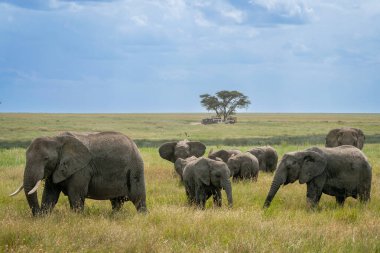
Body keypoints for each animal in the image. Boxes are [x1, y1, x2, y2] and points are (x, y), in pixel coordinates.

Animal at [10, 131, 147, 216]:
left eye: (46, 159)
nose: (37, 215)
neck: (56, 139)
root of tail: (135, 145)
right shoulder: (56, 168)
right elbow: (49, 196)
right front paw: (44, 217)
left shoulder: (82, 169)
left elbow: (75, 195)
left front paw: (76, 220)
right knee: (116, 202)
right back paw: (114, 217)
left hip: (135, 169)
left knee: (138, 199)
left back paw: (142, 218)